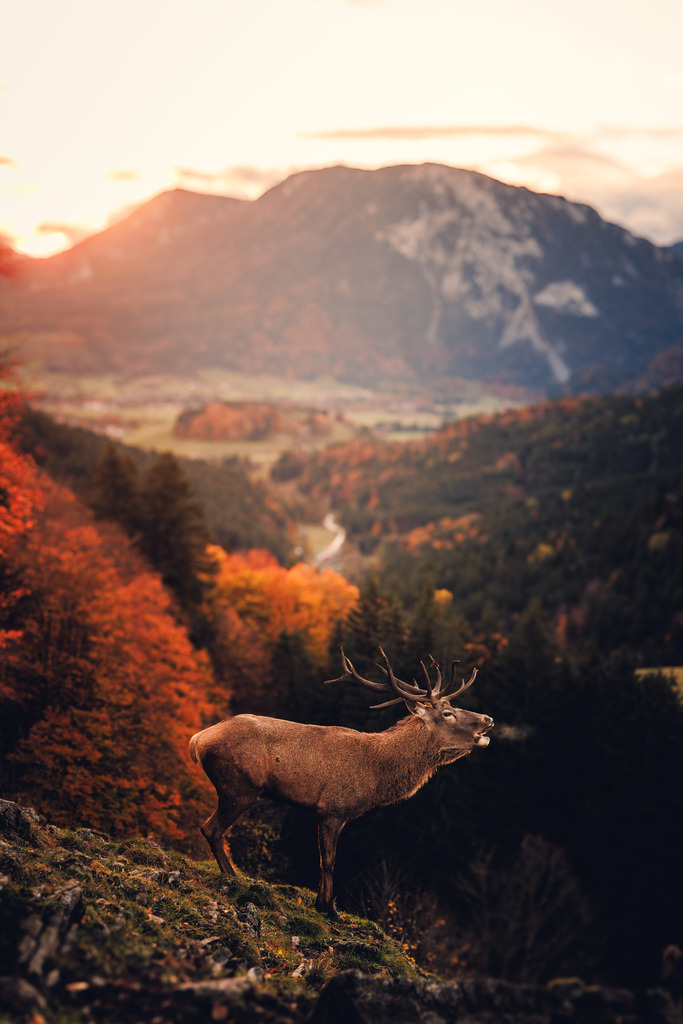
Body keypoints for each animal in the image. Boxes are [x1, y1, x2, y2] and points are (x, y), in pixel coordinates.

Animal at [190, 647, 493, 918]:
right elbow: (329, 861)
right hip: (239, 786)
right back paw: (233, 877)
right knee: (211, 829)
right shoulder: (332, 808)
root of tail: (197, 739)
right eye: (447, 714)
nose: (488, 718)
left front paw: (323, 904)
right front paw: (329, 908)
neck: (376, 774)